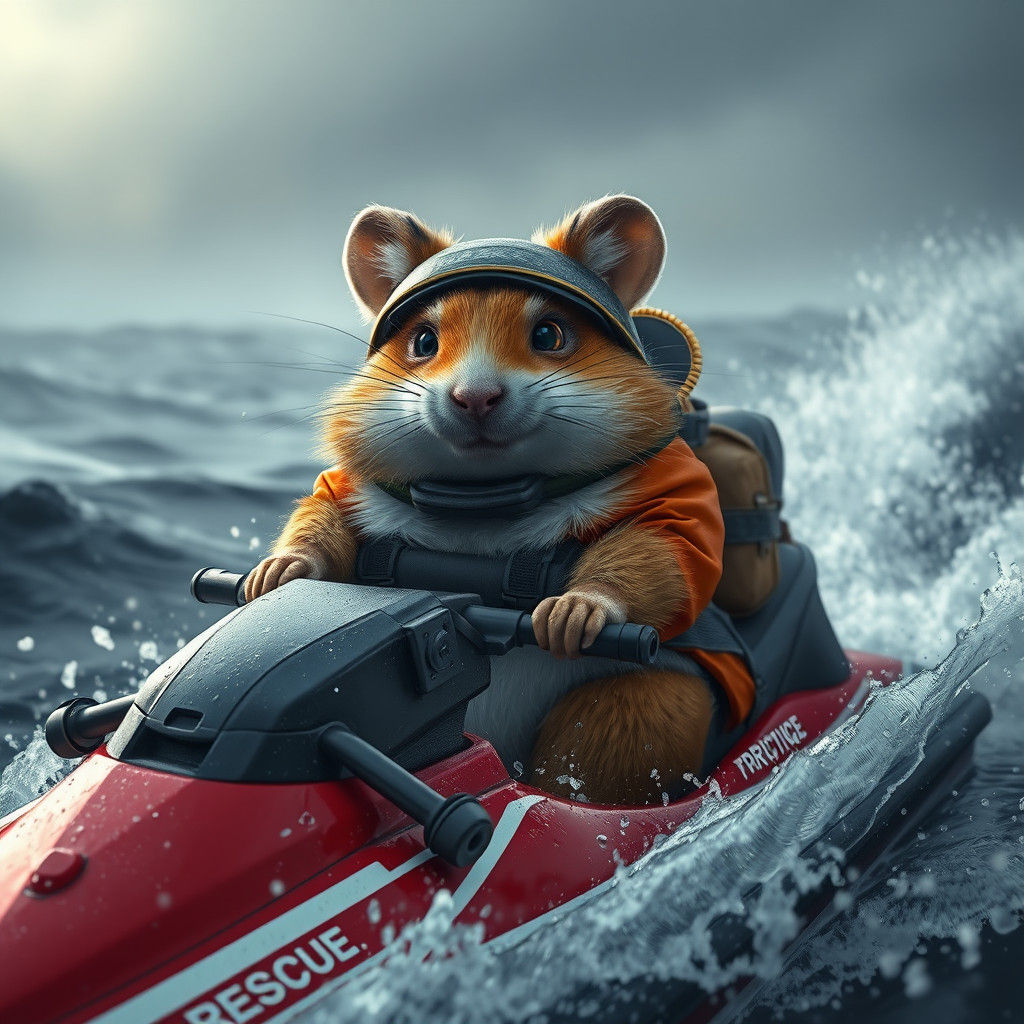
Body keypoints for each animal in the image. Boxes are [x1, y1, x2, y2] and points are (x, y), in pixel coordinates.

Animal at [246, 195, 738, 805]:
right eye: (423, 342)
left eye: (550, 334)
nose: (474, 397)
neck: (481, 504)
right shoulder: (352, 488)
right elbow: (322, 513)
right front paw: (279, 569)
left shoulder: (671, 488)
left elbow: (670, 548)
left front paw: (581, 609)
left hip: (643, 707)